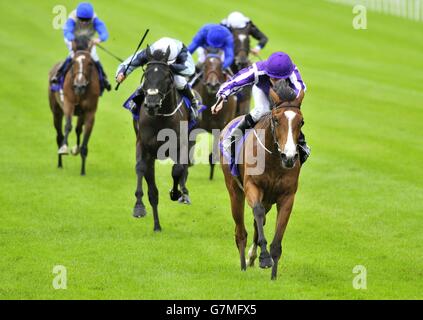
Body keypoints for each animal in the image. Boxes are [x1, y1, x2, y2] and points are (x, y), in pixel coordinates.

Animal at [48, 35, 100, 175]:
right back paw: (60, 162)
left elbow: (85, 135)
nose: (79, 86)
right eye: (73, 63)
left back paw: (76, 149)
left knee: (78, 130)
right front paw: (64, 148)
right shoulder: (68, 104)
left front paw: (83, 171)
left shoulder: (89, 112)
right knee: (59, 135)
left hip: (80, 114)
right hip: (56, 111)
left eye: (90, 63)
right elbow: (68, 126)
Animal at [220, 96, 304, 278]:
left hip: (268, 200)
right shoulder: (252, 186)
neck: (273, 159)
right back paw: (243, 264)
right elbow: (257, 212)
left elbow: (277, 237)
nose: (288, 157)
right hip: (234, 191)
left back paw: (251, 257)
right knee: (241, 231)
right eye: (276, 120)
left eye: (301, 122)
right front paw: (264, 258)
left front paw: (273, 275)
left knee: (258, 222)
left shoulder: (287, 196)